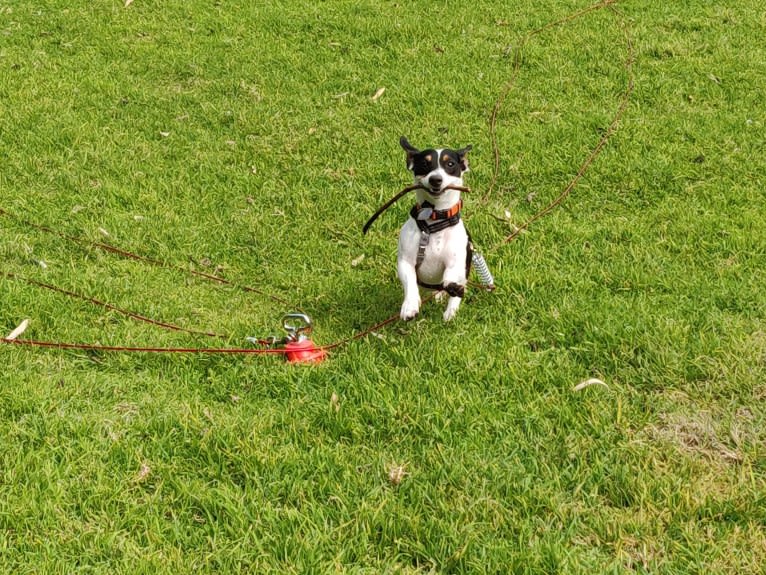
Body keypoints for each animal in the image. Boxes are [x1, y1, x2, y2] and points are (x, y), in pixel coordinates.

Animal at [396, 137, 474, 322]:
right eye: (425, 163)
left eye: (450, 164)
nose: (435, 179)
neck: (435, 221)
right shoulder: (405, 262)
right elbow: (410, 281)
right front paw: (410, 305)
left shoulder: (455, 263)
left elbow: (449, 277)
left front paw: (450, 290)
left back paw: (451, 310)